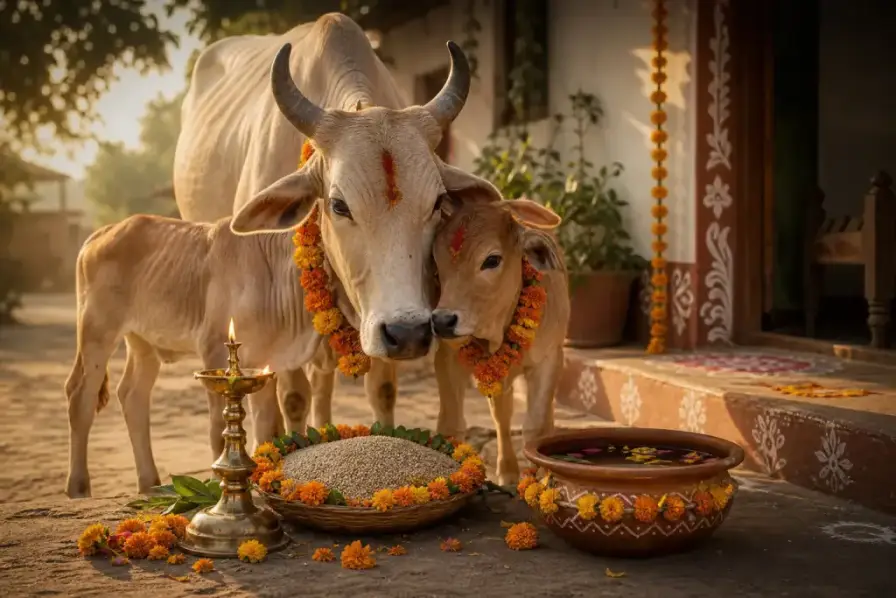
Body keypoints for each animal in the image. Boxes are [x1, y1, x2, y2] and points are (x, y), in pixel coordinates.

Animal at [428, 198, 570, 485]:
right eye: (436, 264)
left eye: (492, 260)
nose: (443, 321)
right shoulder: (448, 359)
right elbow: (451, 424)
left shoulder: (549, 358)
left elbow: (536, 426)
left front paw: (542, 481)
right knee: (502, 418)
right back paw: (507, 471)